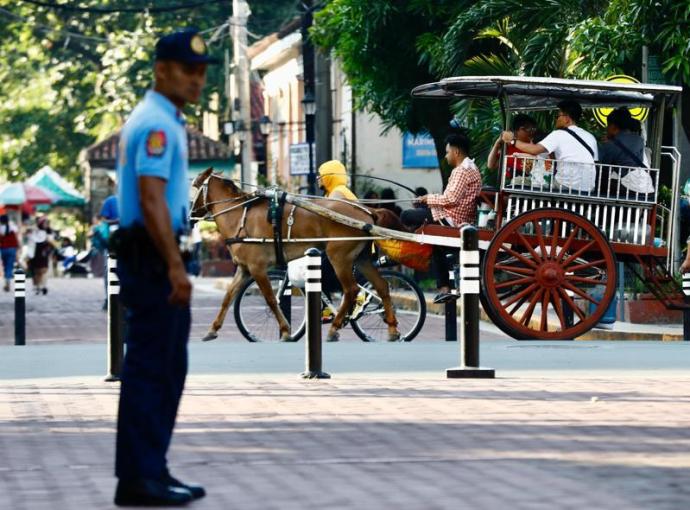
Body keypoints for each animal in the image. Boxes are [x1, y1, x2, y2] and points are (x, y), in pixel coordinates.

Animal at [191, 168, 400, 342]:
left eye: (194, 186)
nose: (190, 215)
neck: (240, 217)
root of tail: (366, 211)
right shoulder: (244, 269)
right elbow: (228, 297)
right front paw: (213, 329)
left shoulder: (257, 268)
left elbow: (271, 299)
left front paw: (285, 330)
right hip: (361, 258)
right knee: (381, 286)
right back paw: (392, 329)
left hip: (339, 258)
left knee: (351, 290)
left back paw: (334, 328)